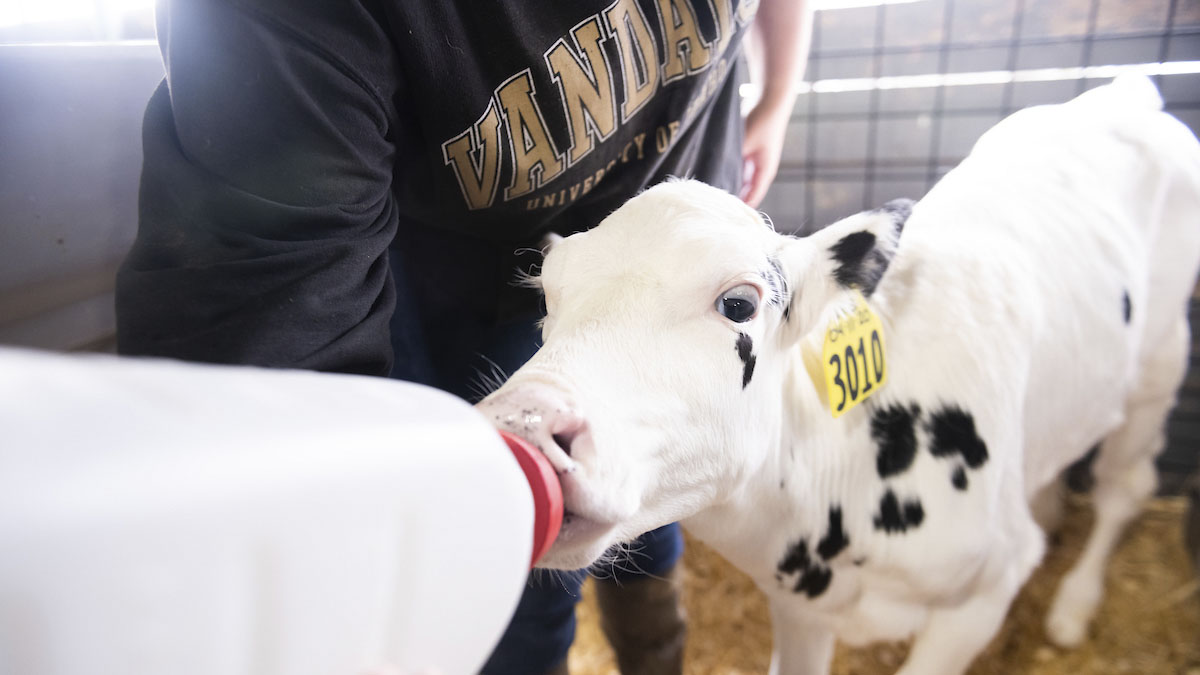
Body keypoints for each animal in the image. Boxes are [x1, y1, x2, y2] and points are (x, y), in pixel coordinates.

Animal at [475, 74, 1200, 672]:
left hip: (1161, 357)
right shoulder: (797, 608)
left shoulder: (985, 588)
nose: (521, 428)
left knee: (1126, 486)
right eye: (549, 298)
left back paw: (1074, 603)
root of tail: (1126, 93)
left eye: (738, 303)